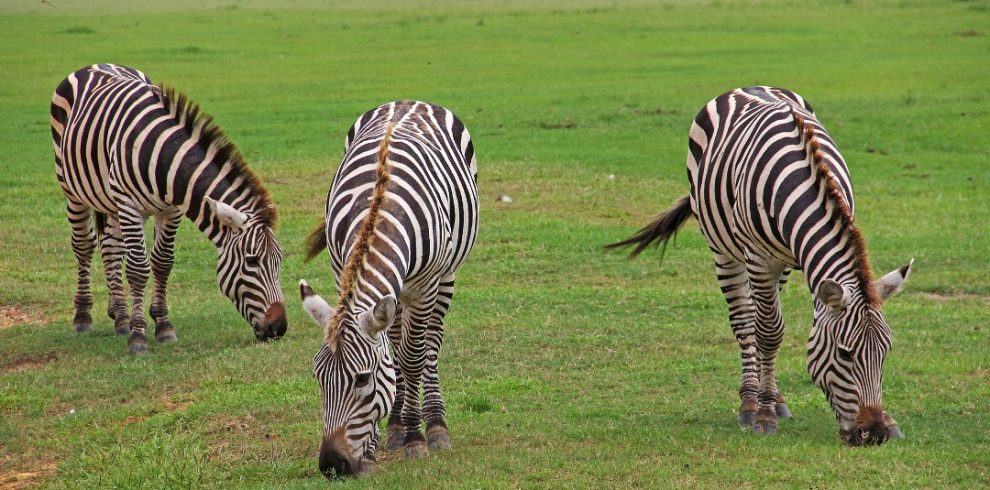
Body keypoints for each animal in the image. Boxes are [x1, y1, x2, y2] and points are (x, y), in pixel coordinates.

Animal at [50, 64, 286, 352]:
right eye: (252, 261)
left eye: (279, 260)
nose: (279, 328)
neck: (164, 158)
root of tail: (97, 65)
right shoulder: (131, 206)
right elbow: (138, 269)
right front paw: (138, 337)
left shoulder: (171, 210)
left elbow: (163, 263)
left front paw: (163, 326)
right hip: (73, 190)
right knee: (84, 245)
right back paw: (83, 317)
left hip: (111, 201)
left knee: (110, 248)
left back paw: (120, 317)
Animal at [300, 100, 478, 478]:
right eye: (318, 378)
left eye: (363, 380)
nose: (332, 466)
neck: (379, 208)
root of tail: (411, 101)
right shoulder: (341, 272)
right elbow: (392, 356)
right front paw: (375, 447)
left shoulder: (424, 287)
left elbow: (411, 359)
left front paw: (415, 438)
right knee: (395, 341)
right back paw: (395, 426)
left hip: (446, 276)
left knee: (431, 345)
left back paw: (434, 425)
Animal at [612, 86, 916, 446]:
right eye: (844, 354)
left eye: (886, 351)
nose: (875, 434)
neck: (802, 187)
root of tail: (747, 87)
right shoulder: (758, 258)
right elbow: (768, 333)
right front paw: (764, 414)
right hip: (725, 250)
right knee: (746, 323)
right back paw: (749, 401)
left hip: (779, 266)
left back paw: (774, 396)